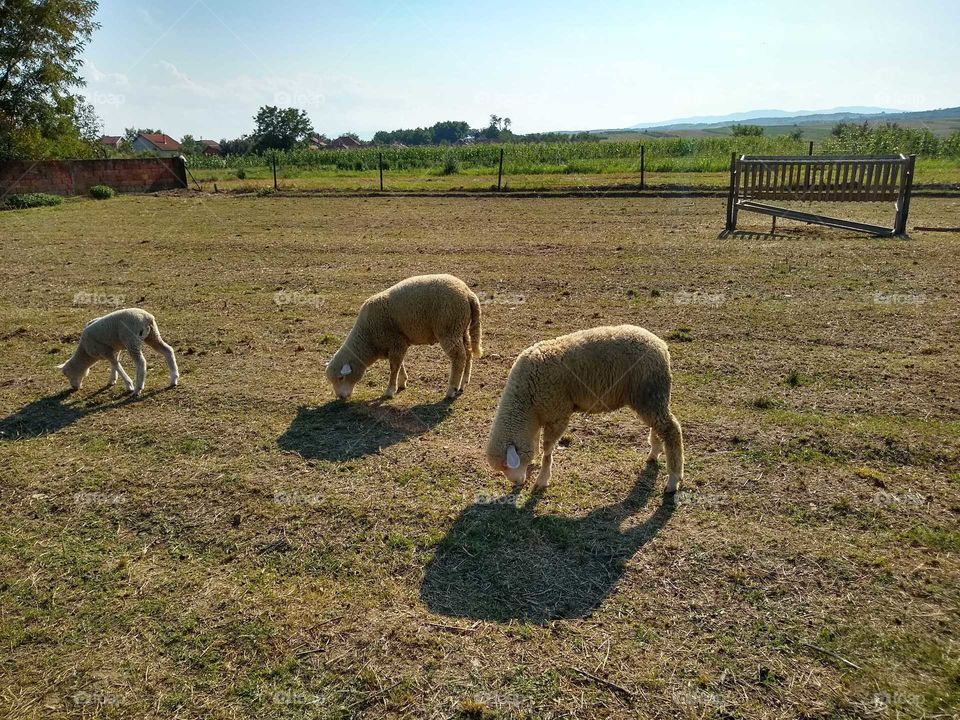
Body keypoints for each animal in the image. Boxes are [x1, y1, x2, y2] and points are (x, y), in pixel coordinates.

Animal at [326, 274, 482, 401]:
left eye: (341, 377)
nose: (340, 397)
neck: (368, 338)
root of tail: (468, 293)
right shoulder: (397, 344)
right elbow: (399, 364)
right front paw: (401, 383)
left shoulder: (395, 342)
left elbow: (394, 367)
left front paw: (389, 391)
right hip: (461, 328)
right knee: (468, 353)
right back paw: (463, 382)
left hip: (449, 328)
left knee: (459, 357)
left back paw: (452, 390)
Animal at [485, 325, 684, 493]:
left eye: (506, 465)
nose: (516, 483)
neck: (528, 404)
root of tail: (661, 346)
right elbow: (536, 443)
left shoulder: (558, 414)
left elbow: (547, 450)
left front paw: (542, 479)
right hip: (650, 398)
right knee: (659, 425)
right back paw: (654, 452)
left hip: (649, 392)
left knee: (671, 429)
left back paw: (673, 480)